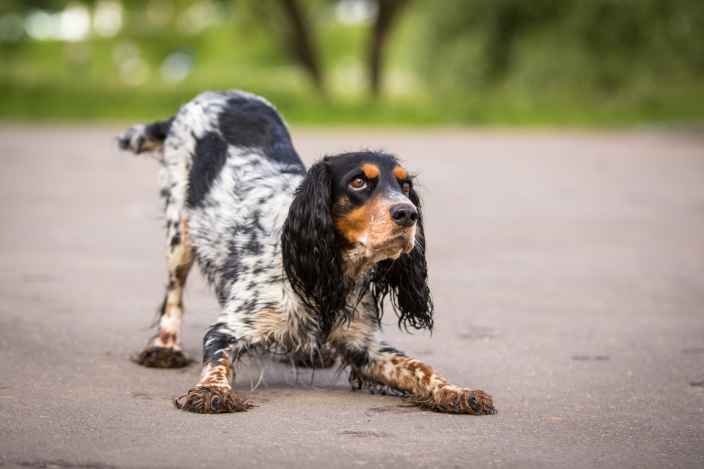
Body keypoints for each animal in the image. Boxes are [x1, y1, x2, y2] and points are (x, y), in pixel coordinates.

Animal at [117, 88, 496, 414]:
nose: (407, 213)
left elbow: (420, 367)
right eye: (358, 182)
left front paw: (457, 392)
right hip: (178, 230)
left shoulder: (367, 348)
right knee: (174, 291)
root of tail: (209, 95)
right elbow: (218, 361)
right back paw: (165, 347)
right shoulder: (230, 328)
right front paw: (211, 392)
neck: (330, 270)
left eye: (404, 186)